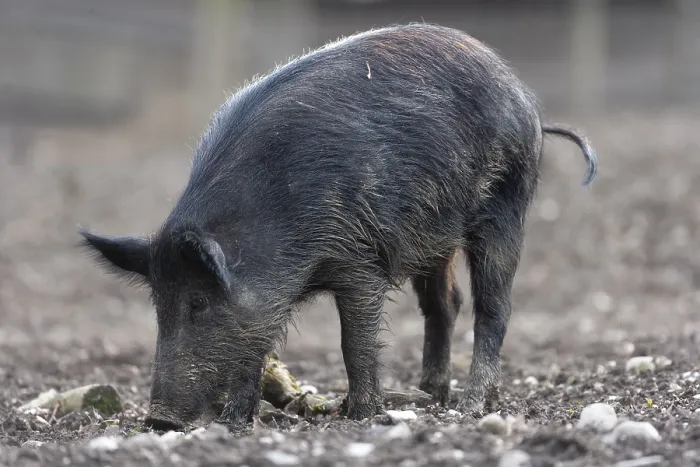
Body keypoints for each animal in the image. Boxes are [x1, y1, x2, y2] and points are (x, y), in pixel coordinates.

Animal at [78, 23, 597, 430]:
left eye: (198, 302)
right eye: (158, 305)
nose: (159, 419)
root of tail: (529, 105)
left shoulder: (359, 261)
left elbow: (354, 341)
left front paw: (361, 414)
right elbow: (256, 345)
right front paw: (234, 423)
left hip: (505, 208)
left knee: (495, 306)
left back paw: (470, 407)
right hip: (435, 237)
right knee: (444, 303)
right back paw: (430, 394)